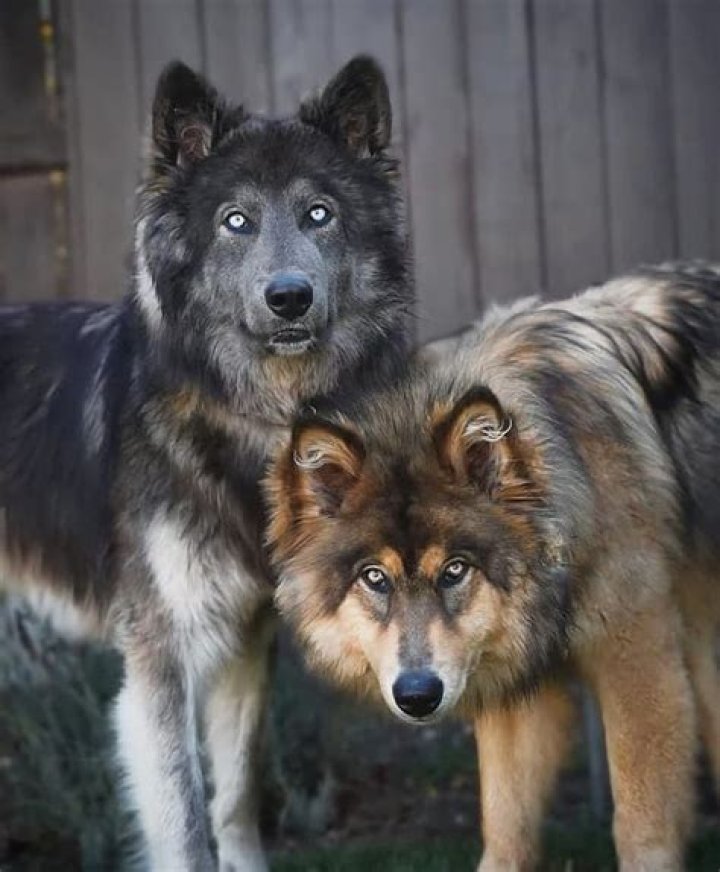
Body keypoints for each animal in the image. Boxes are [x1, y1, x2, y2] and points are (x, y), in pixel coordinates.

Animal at [0, 55, 411, 871]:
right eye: (236, 221)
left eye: (319, 214)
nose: (290, 298)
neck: (254, 420)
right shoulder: (160, 659)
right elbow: (187, 826)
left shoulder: (245, 641)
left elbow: (235, 799)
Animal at [266, 263, 720, 871]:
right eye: (374, 577)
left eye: (455, 570)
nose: (417, 695)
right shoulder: (510, 698)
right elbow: (505, 828)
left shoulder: (640, 665)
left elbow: (640, 825)